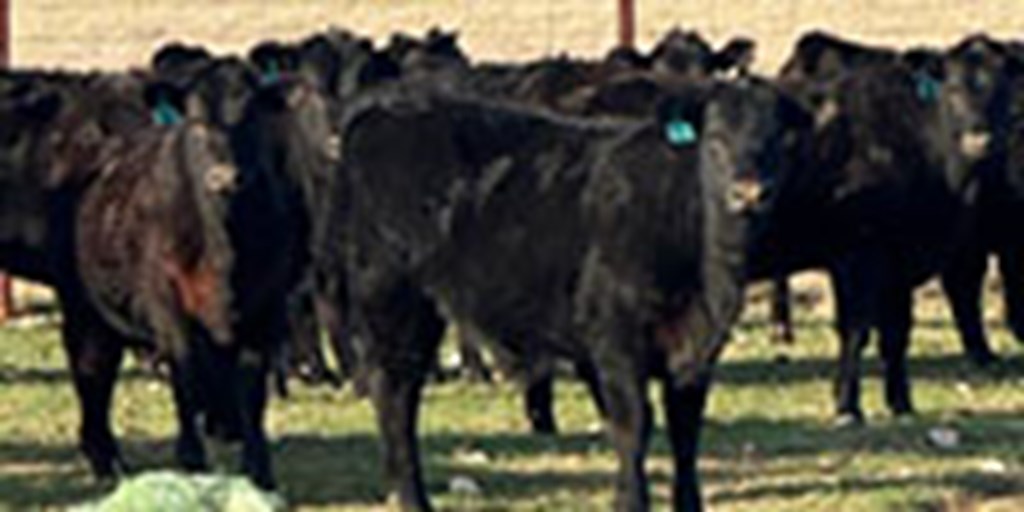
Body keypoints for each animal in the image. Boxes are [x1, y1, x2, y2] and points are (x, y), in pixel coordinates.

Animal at [339, 77, 811, 509]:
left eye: (777, 141)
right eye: (714, 140)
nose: (749, 192)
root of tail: (381, 111)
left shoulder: (696, 351)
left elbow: (685, 433)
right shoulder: (615, 341)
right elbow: (633, 426)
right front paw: (630, 502)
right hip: (392, 299)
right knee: (396, 396)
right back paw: (412, 499)